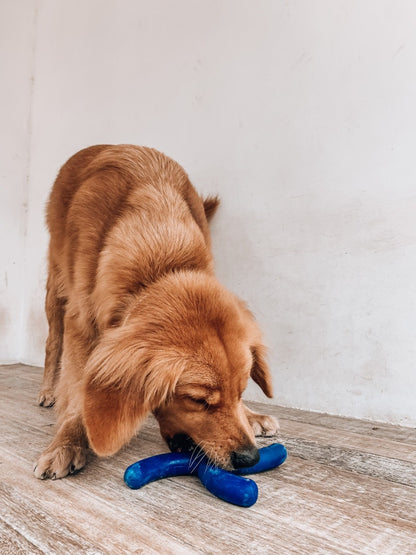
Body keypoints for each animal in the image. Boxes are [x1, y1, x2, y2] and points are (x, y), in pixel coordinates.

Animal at [34, 146, 278, 480]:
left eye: (242, 392)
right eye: (197, 401)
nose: (249, 458)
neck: (162, 257)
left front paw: (250, 414)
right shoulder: (80, 322)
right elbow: (75, 391)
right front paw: (66, 442)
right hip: (57, 286)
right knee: (52, 343)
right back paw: (48, 391)